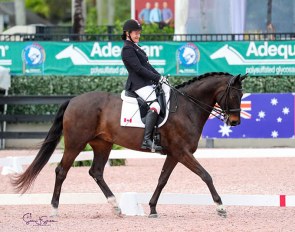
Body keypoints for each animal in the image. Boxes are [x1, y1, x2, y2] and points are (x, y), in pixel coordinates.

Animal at [12, 71, 247, 218]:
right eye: (234, 95)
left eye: (243, 94)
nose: (235, 122)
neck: (186, 107)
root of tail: (73, 100)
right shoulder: (182, 152)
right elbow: (205, 175)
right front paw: (221, 207)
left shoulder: (174, 154)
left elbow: (162, 180)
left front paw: (152, 209)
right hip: (75, 143)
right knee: (61, 170)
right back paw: (54, 210)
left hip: (102, 144)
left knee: (96, 172)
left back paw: (116, 207)